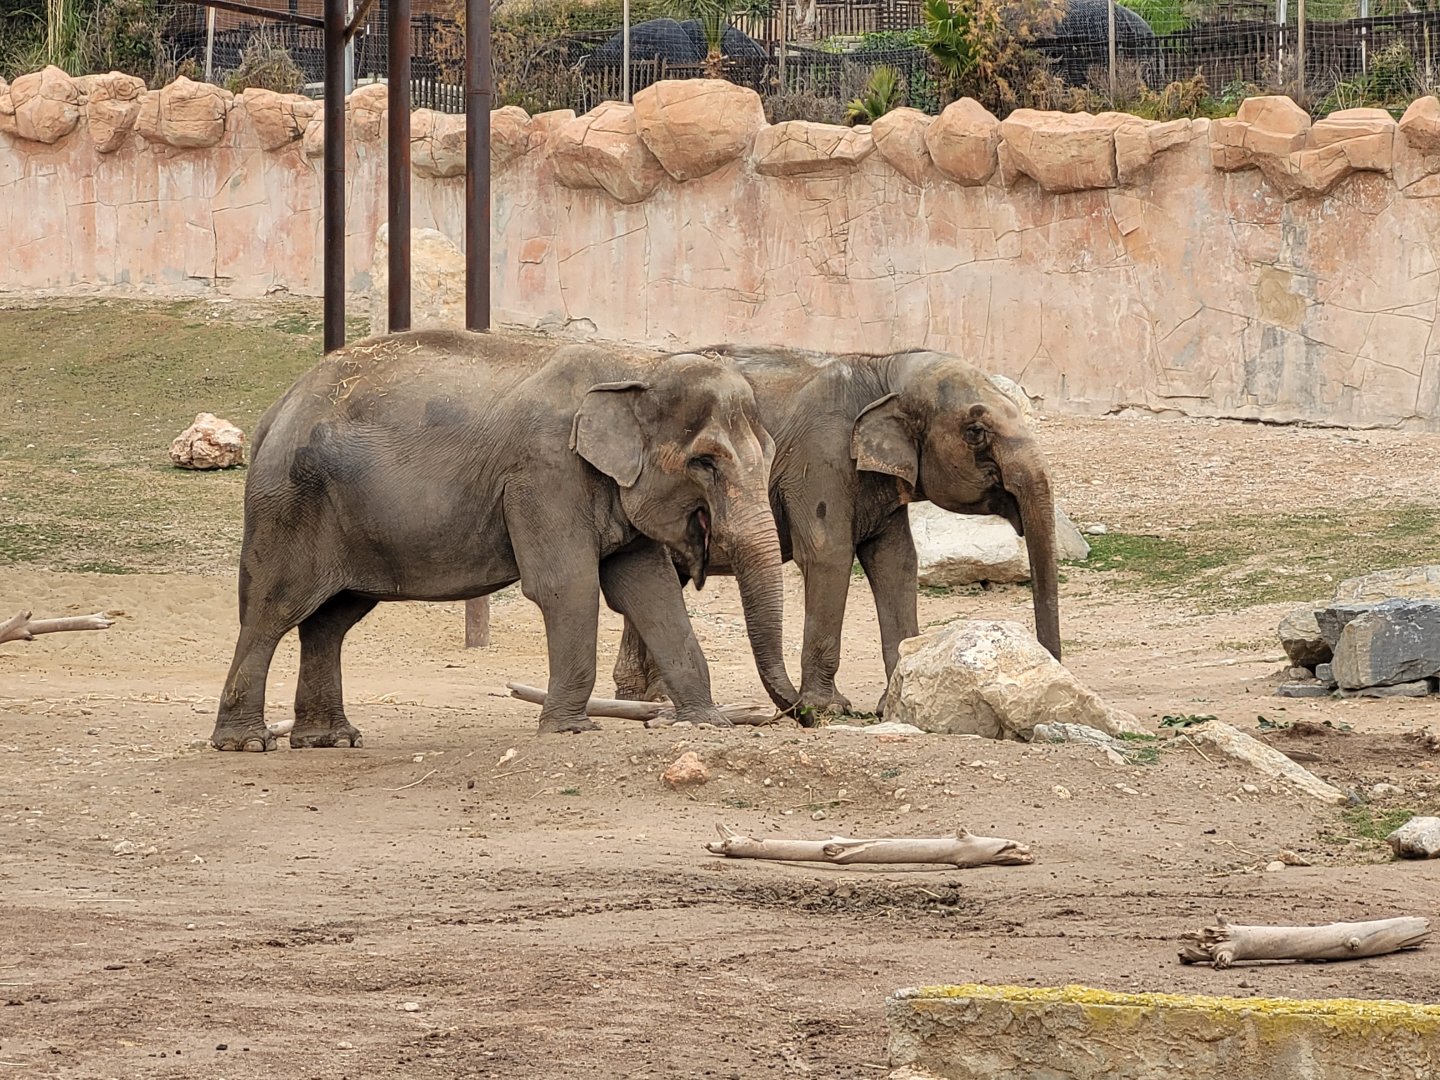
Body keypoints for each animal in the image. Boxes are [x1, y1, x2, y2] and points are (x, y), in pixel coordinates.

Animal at [209, 330, 798, 751]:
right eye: (705, 462)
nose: (798, 713)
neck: (636, 367)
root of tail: (276, 410)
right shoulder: (544, 472)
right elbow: (567, 586)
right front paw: (571, 731)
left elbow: (651, 591)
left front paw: (709, 723)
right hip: (288, 504)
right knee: (271, 611)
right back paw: (245, 743)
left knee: (329, 621)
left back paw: (330, 740)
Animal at [611, 346, 1060, 721]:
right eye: (976, 432)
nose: (1054, 669)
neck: (883, 368)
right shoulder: (821, 459)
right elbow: (828, 554)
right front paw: (828, 709)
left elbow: (896, 562)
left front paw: (892, 705)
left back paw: (646, 699)